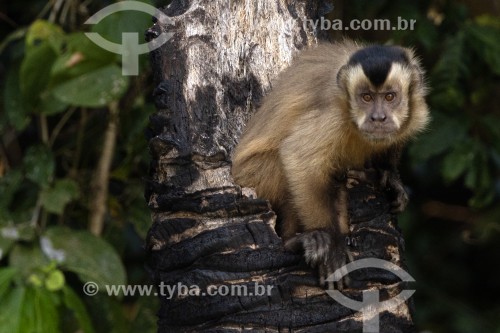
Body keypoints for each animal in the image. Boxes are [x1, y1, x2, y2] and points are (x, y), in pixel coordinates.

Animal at [230, 39, 430, 288]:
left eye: (390, 97)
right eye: (366, 98)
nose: (378, 118)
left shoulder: (417, 110)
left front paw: (390, 176)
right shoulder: (334, 114)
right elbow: (297, 155)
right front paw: (330, 244)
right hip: (252, 176)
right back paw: (296, 241)